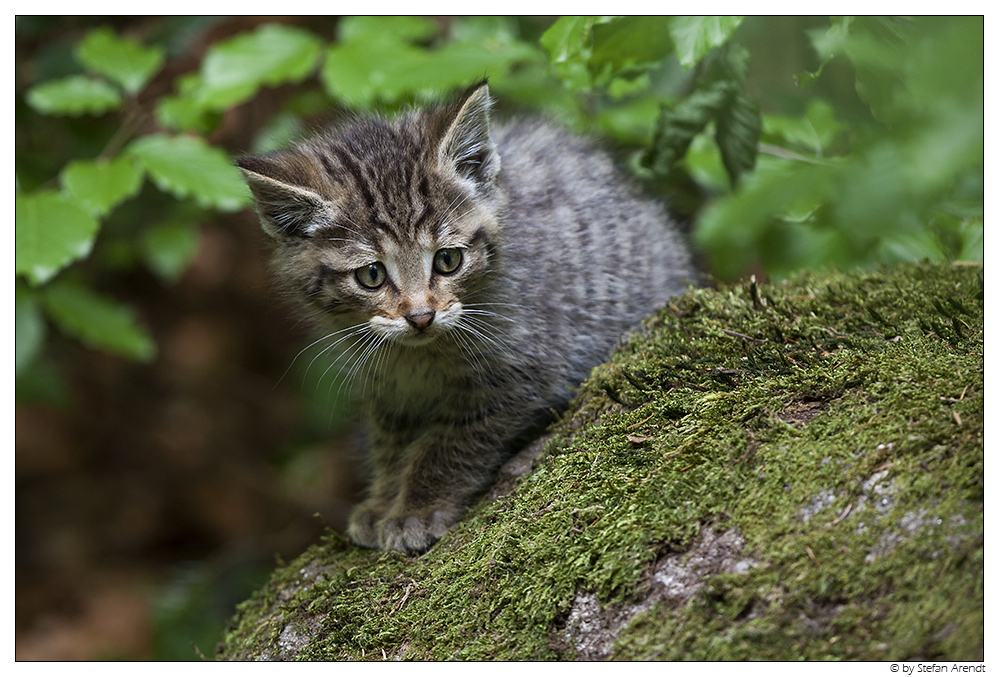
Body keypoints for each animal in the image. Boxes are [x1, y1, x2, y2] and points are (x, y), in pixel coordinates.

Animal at [239, 82, 696, 552]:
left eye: (447, 260)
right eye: (371, 275)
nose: (420, 315)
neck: (417, 356)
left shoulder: (519, 368)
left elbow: (451, 443)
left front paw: (415, 509)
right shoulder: (387, 388)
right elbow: (390, 441)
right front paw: (382, 500)